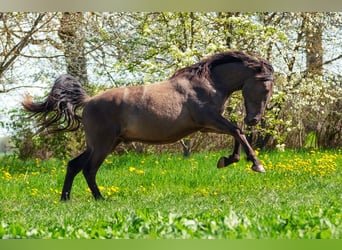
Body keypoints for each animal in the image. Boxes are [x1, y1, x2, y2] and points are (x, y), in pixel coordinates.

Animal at [22, 49, 274, 200]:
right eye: (266, 88)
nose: (254, 119)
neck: (207, 83)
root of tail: (88, 101)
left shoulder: (206, 125)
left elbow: (236, 132)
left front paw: (228, 160)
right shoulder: (208, 120)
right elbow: (237, 131)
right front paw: (256, 165)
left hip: (106, 143)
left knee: (74, 165)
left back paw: (66, 198)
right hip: (102, 145)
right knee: (88, 169)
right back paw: (100, 198)